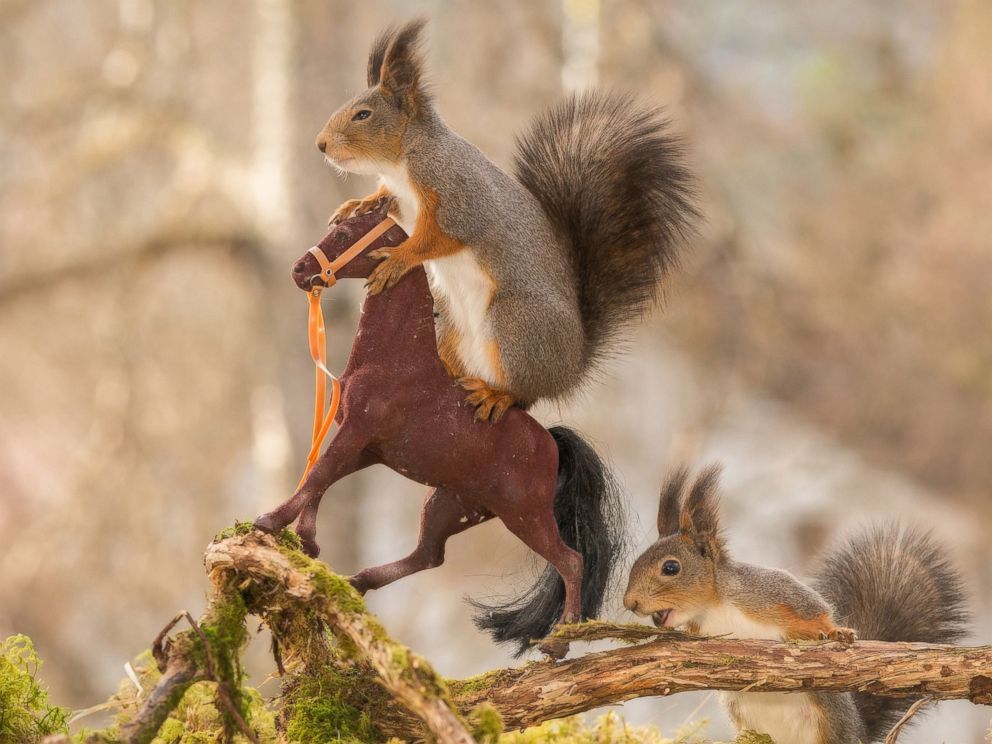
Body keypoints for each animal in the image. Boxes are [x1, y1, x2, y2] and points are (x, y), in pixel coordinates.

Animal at [314, 20, 692, 422]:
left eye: (363, 115)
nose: (321, 144)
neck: (403, 162)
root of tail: (570, 368)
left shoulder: (460, 198)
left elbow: (437, 239)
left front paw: (398, 259)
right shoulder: (403, 198)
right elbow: (388, 204)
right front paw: (358, 204)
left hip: (514, 324)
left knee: (523, 394)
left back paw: (496, 395)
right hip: (451, 323)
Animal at [624, 468, 964, 740]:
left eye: (671, 567)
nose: (630, 602)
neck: (715, 609)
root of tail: (860, 733)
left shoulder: (774, 593)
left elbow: (818, 612)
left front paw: (837, 633)